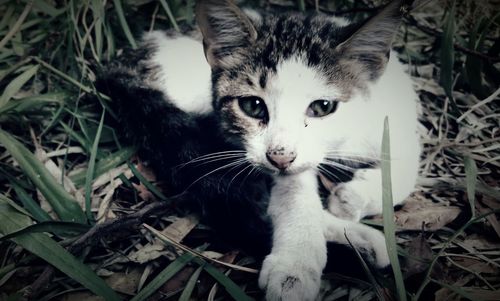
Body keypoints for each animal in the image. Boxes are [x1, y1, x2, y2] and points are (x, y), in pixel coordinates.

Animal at [96, 0, 418, 298]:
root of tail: (125, 62)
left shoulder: (395, 113)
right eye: (252, 105)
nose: (280, 158)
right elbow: (291, 192)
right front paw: (296, 262)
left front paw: (356, 196)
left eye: (323, 107)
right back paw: (359, 241)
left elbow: (407, 164)